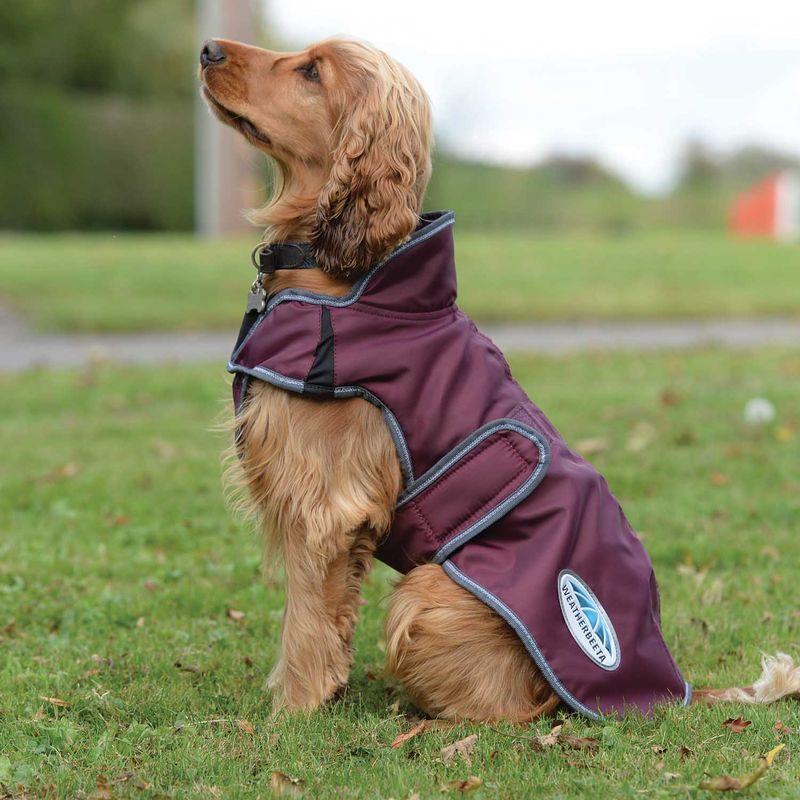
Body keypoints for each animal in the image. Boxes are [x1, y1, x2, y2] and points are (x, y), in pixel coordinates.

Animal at [197, 36, 796, 720]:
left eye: (312, 72)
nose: (208, 48)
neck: (350, 279)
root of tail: (666, 687)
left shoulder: (327, 503)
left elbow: (304, 625)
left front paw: (290, 715)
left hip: (428, 591)